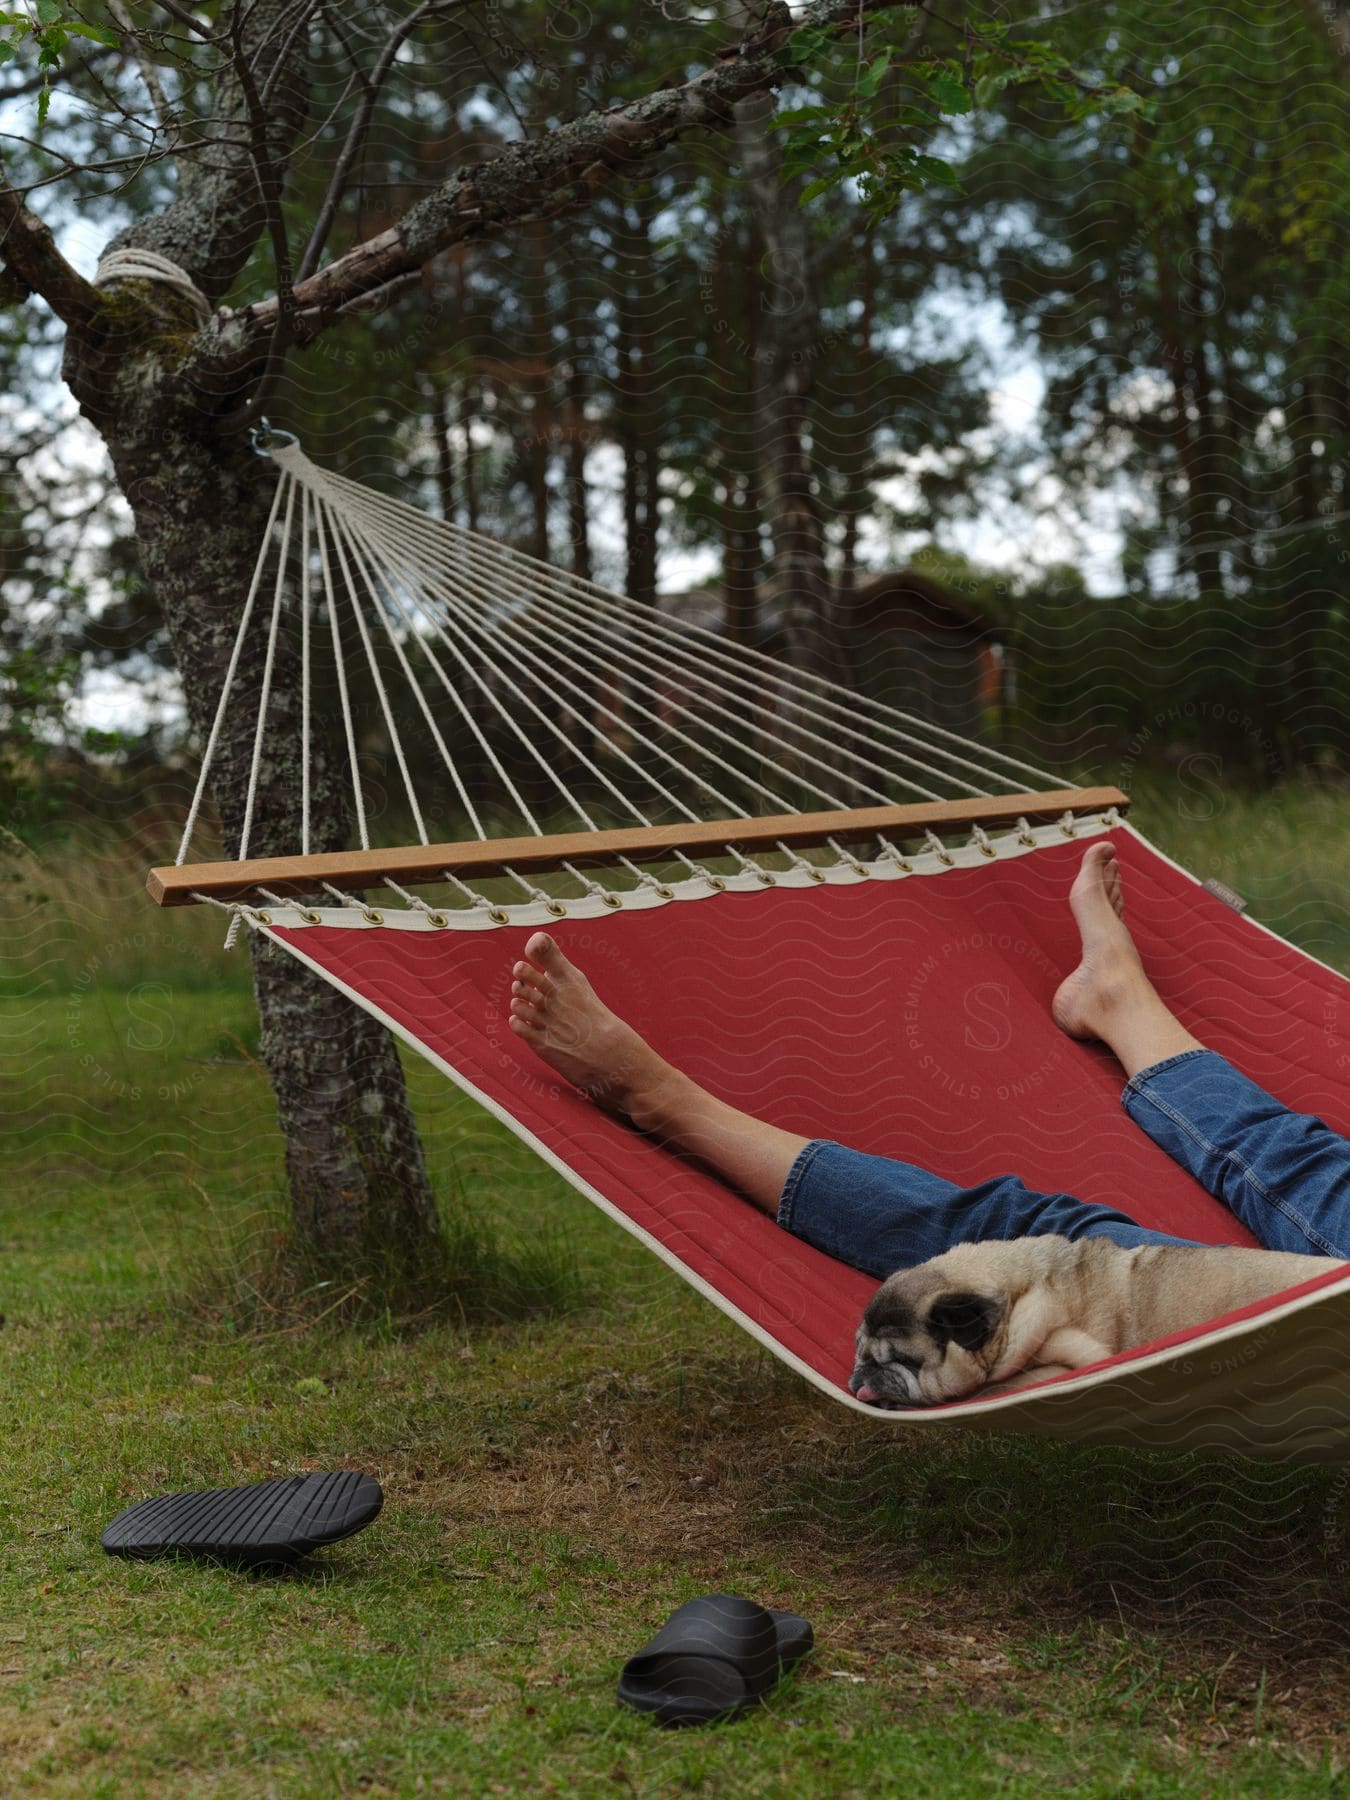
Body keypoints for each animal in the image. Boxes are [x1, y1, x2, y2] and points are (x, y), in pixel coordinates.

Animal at [849, 1238, 1339, 1404]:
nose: (860, 1373)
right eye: (860, 1350)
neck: (1023, 1295)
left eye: (903, 1361)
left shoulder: (1062, 1365)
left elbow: (999, 1387)